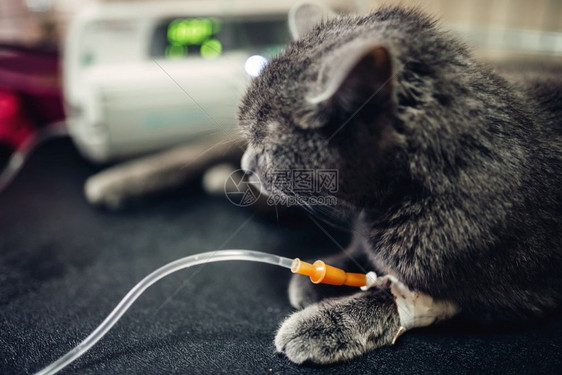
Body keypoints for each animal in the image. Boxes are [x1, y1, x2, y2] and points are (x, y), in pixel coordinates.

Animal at [237, 2, 560, 364]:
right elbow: (364, 255)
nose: (244, 165)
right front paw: (323, 276)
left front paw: (324, 325)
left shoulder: (517, 296)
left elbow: (393, 299)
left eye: (265, 147)